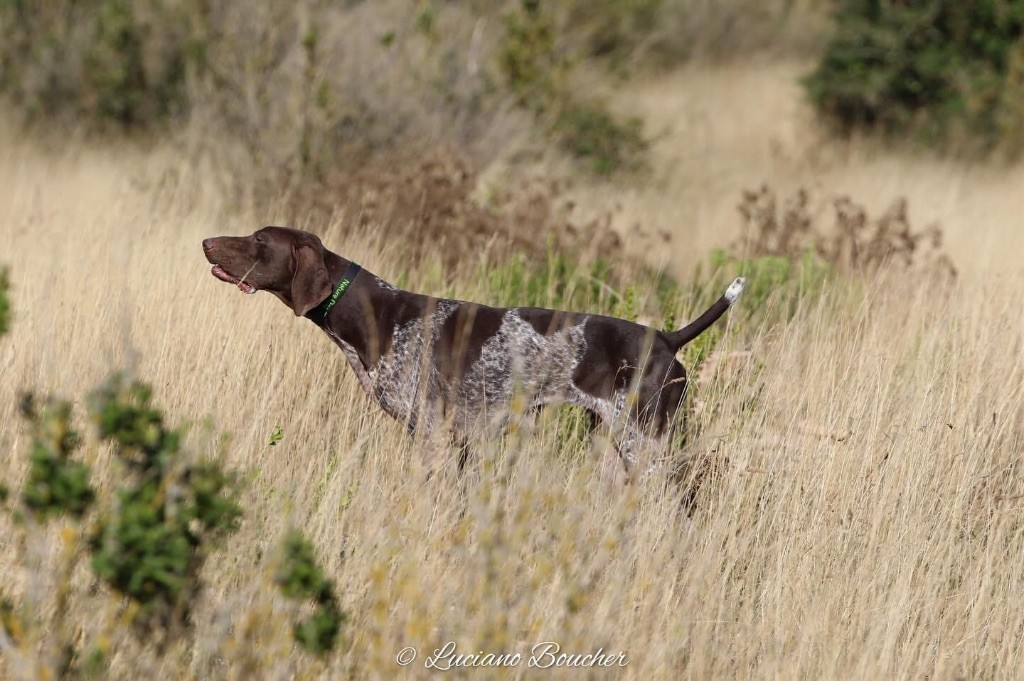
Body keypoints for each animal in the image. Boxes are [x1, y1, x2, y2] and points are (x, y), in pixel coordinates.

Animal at [201, 225, 745, 475]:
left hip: (642, 443)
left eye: (258, 240)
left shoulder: (431, 433)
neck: (374, 315)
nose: (207, 242)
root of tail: (667, 339)